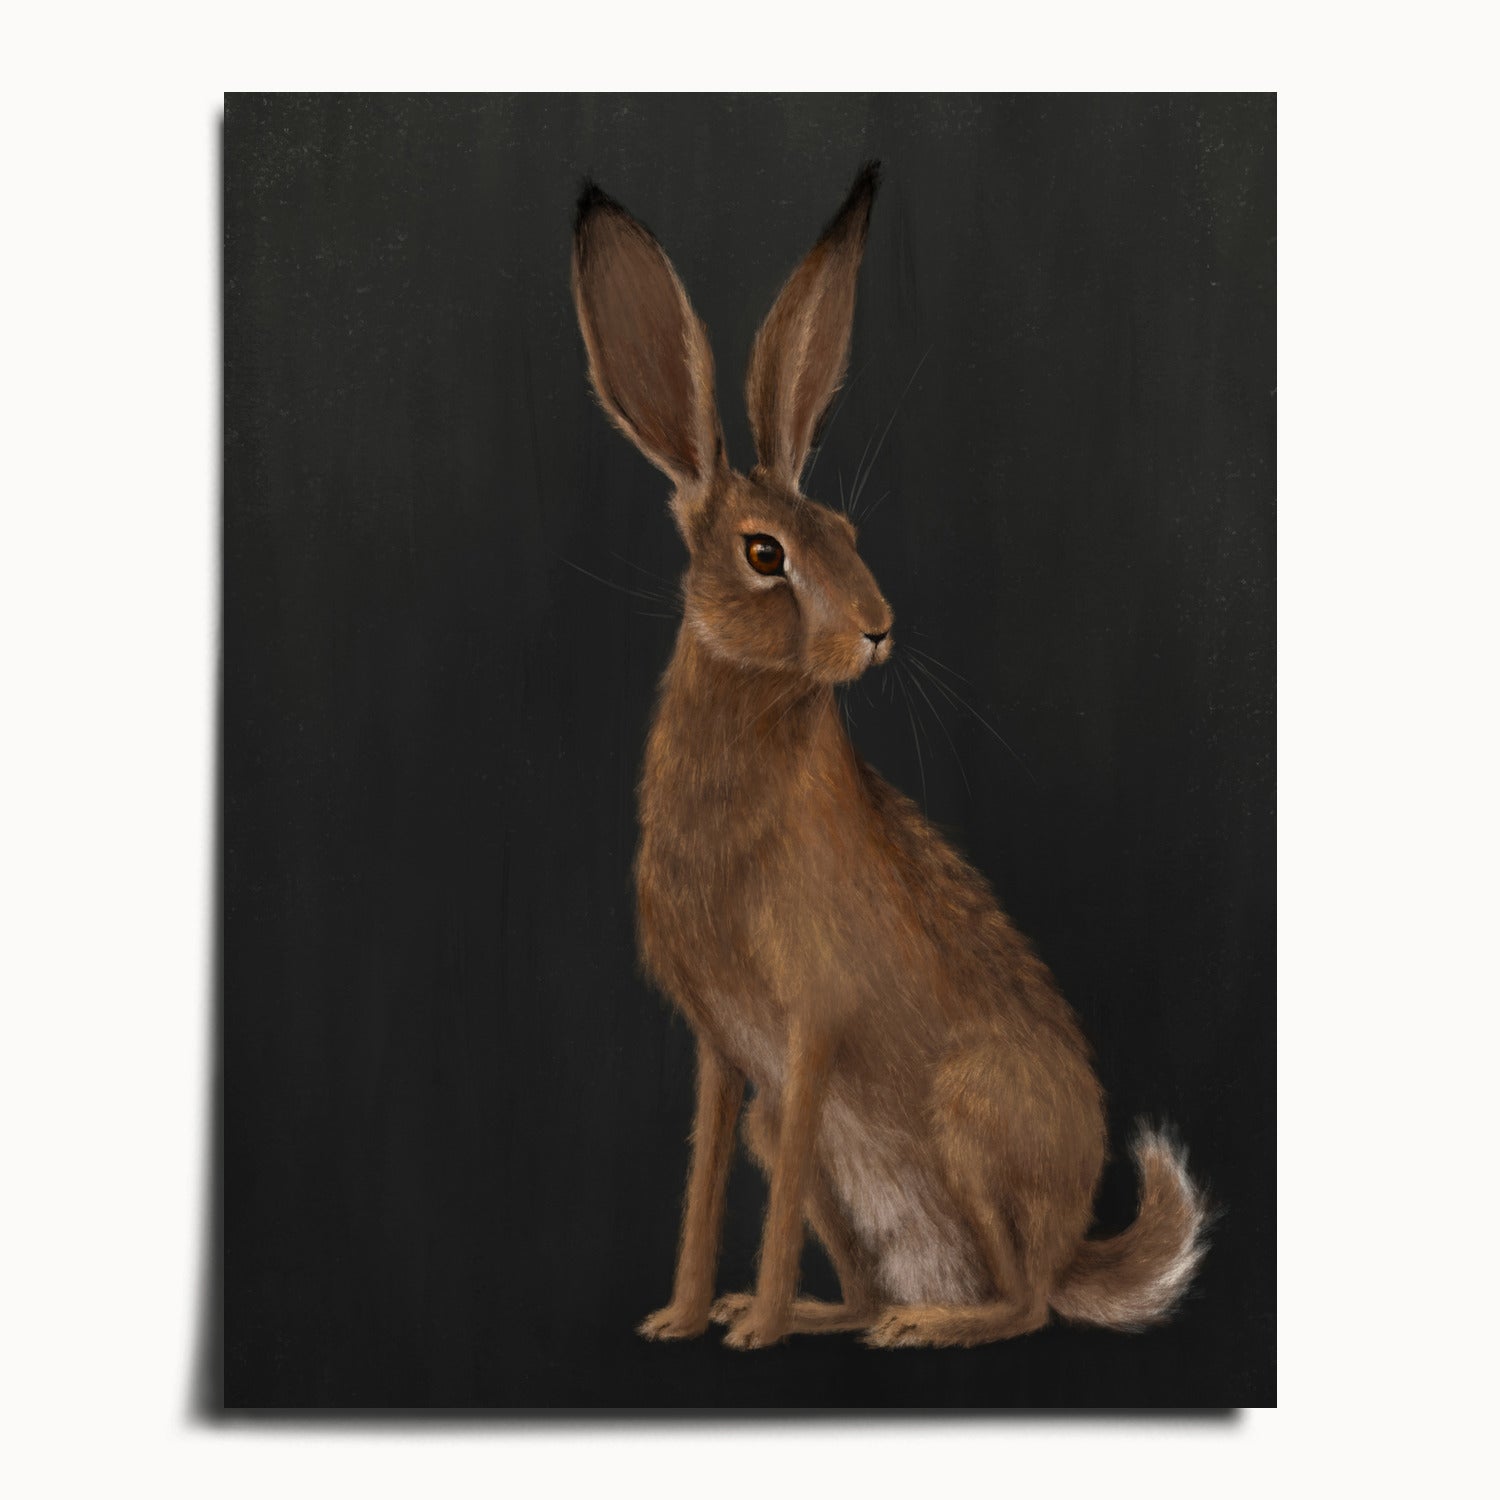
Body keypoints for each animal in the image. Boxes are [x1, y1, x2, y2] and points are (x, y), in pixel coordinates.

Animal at [570, 162, 1209, 1349]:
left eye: (850, 534)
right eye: (765, 553)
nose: (877, 628)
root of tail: (1072, 1246)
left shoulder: (811, 1026)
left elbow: (766, 1198)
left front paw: (751, 1333)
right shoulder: (728, 1057)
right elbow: (705, 1181)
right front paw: (685, 1317)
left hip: (970, 1115)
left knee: (1025, 1305)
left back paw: (925, 1325)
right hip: (825, 1144)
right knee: (877, 1274)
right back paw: (831, 1313)